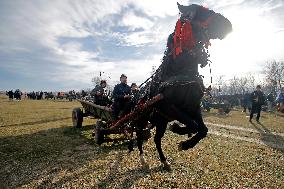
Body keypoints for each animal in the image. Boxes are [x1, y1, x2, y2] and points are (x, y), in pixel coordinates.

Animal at [127, 2, 232, 169]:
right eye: (202, 12)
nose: (229, 25)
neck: (180, 72)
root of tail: (135, 94)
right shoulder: (169, 106)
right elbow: (194, 125)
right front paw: (178, 129)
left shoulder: (193, 107)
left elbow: (203, 129)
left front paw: (185, 142)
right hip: (142, 118)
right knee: (138, 134)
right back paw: (143, 160)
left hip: (161, 121)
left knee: (156, 139)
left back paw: (164, 161)